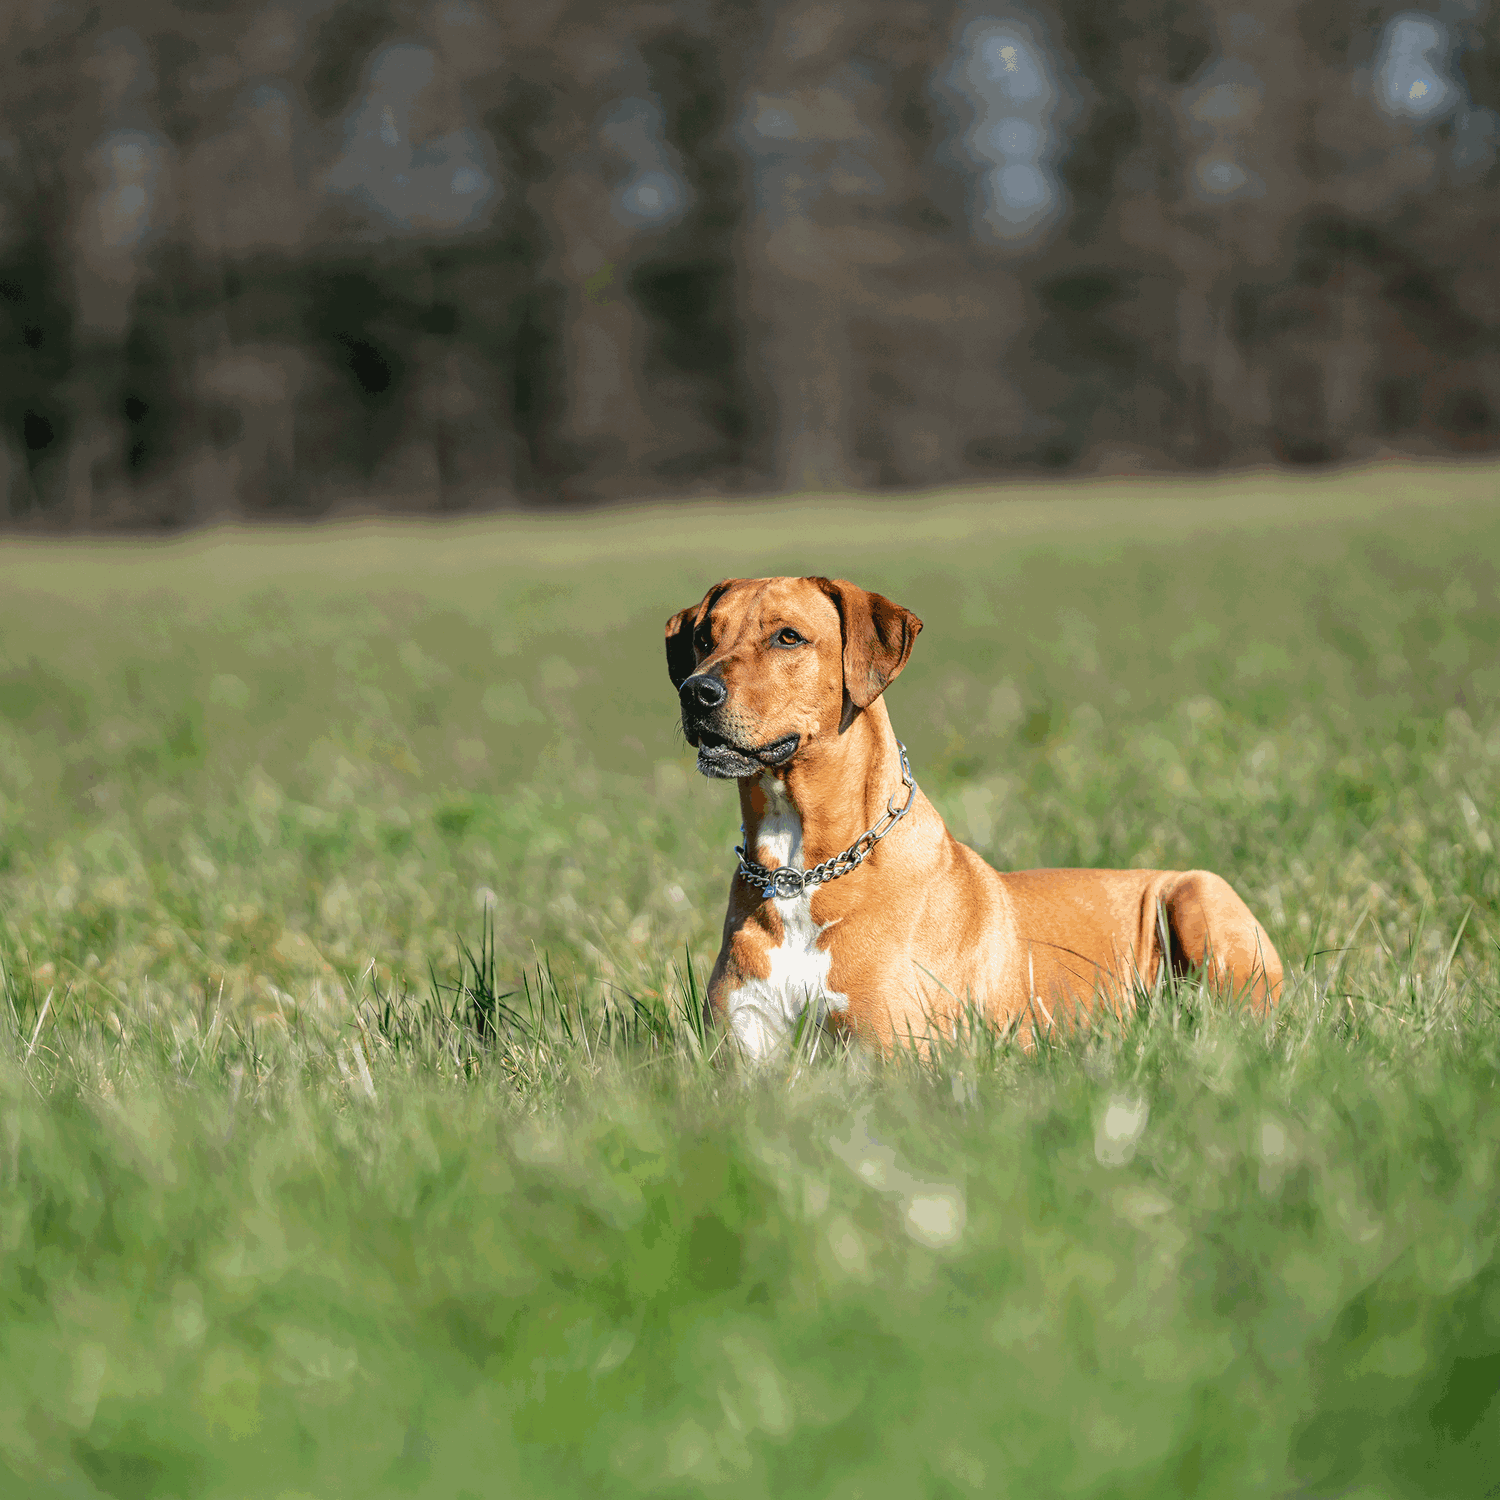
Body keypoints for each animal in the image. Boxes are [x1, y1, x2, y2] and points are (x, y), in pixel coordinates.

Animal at [663, 573, 1284, 1056]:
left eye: (788, 636)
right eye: (702, 637)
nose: (696, 692)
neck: (799, 871)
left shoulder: (895, 1057)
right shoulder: (742, 1058)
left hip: (1198, 894)